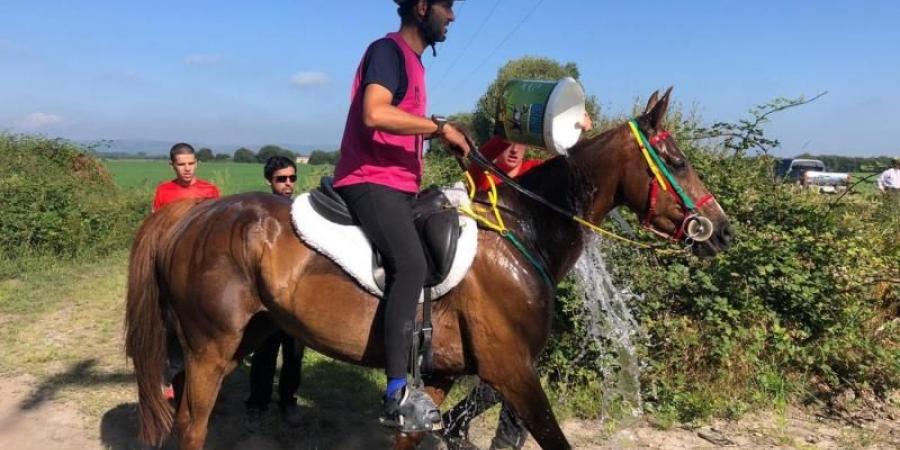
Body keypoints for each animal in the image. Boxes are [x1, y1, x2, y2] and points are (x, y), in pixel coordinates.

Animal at [126, 89, 732, 450]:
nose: (722, 231)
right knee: (190, 427)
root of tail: (194, 212)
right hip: (212, 348)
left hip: (242, 338)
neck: (523, 230)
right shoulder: (513, 371)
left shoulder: (442, 377)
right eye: (676, 161)